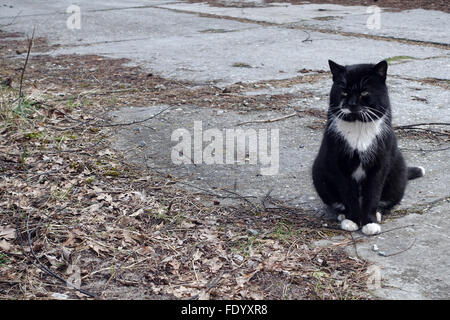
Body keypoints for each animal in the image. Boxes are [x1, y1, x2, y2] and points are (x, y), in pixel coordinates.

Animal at [312, 60, 424, 235]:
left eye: (364, 92)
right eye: (344, 91)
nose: (351, 104)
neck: (358, 125)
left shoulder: (379, 164)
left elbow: (373, 194)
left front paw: (370, 223)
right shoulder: (340, 164)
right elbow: (348, 194)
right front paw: (351, 220)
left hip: (398, 172)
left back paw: (376, 214)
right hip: (319, 173)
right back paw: (343, 215)